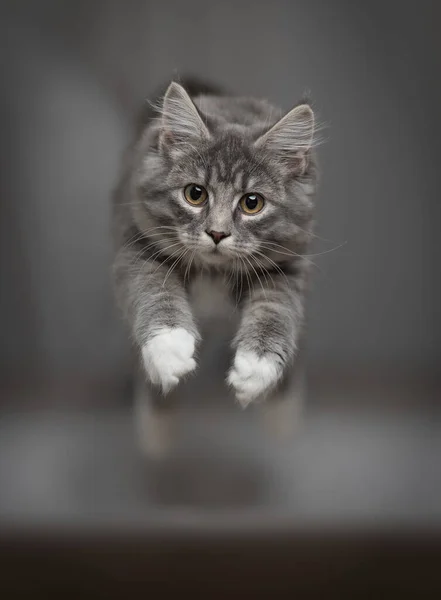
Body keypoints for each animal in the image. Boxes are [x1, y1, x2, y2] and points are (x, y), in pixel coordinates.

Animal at [111, 79, 318, 454]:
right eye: (195, 194)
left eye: (252, 203)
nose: (217, 233)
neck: (214, 272)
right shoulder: (135, 245)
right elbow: (153, 290)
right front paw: (169, 348)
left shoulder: (287, 267)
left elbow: (276, 311)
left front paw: (256, 368)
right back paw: (158, 431)